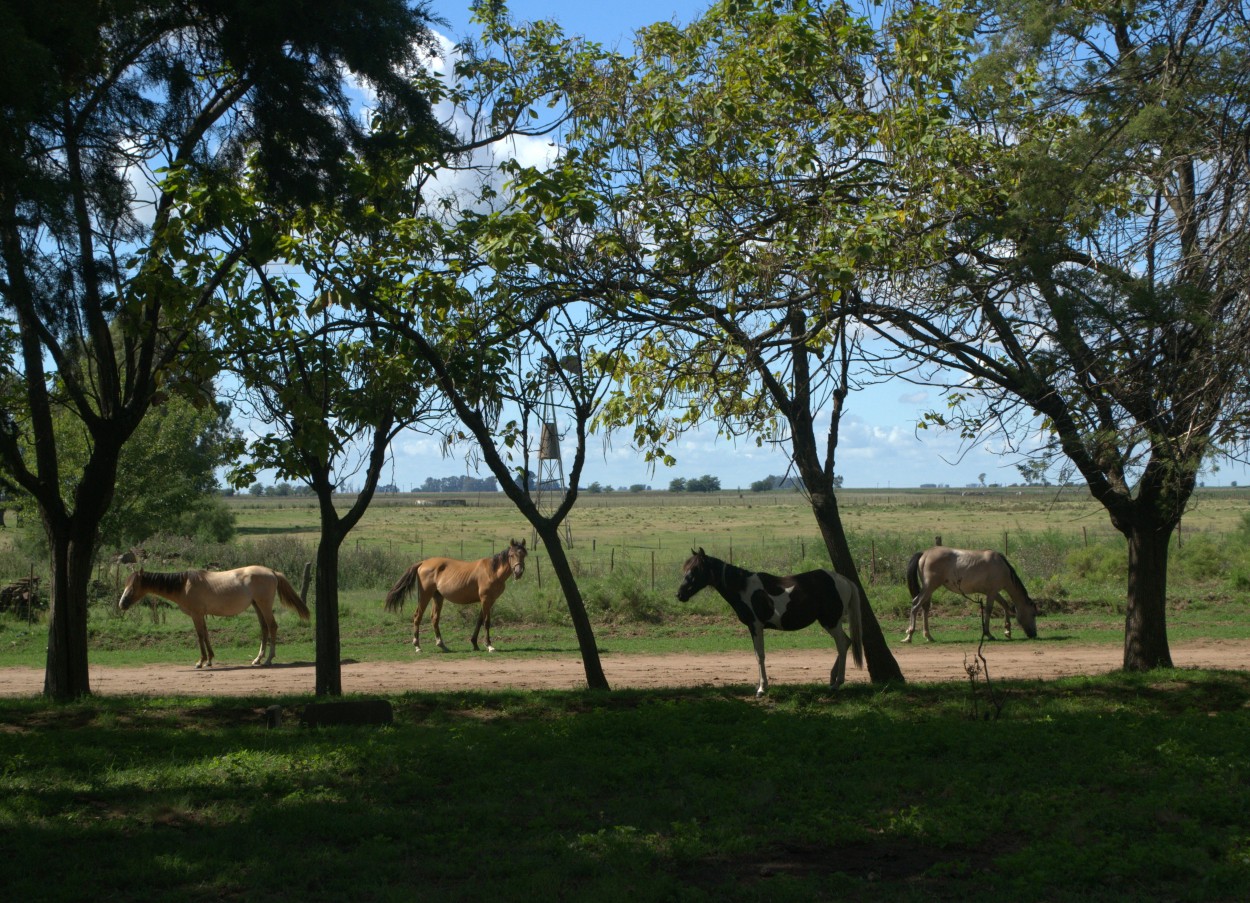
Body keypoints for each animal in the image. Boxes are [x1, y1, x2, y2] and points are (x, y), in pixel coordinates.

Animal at [117, 565, 310, 665]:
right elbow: (206, 634)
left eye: (133, 586)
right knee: (264, 629)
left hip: (264, 605)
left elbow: (200, 635)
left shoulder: (196, 614)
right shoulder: (201, 615)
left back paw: (269, 658)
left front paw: (201, 661)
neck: (184, 585)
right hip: (257, 606)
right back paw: (257, 659)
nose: (122, 604)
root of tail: (272, 572)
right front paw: (210, 659)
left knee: (272, 627)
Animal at [382, 537, 525, 650]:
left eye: (524, 554)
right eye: (511, 555)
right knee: (418, 616)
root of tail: (423, 563)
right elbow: (486, 621)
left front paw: (475, 644)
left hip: (437, 597)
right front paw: (489, 645)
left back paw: (441, 644)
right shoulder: (486, 599)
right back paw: (417, 646)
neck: (492, 571)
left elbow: (479, 620)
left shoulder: (489, 600)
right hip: (425, 595)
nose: (518, 572)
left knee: (434, 618)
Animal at [680, 542, 865, 695]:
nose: (680, 594)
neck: (743, 588)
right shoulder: (753, 627)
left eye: (696, 569)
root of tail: (844, 581)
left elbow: (760, 655)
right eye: (685, 569)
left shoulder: (756, 626)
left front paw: (762, 688)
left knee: (842, 644)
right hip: (830, 622)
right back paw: (833, 679)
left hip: (831, 622)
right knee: (846, 643)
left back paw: (837, 683)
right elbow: (757, 654)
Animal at [905, 545, 1040, 645]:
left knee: (925, 607)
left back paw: (928, 636)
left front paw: (1008, 631)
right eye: (1033, 614)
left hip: (929, 589)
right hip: (930, 587)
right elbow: (989, 610)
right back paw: (909, 635)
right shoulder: (992, 593)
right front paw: (988, 634)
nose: (1034, 634)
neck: (1001, 567)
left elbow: (1005, 605)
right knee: (915, 605)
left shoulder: (994, 592)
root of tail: (925, 553)